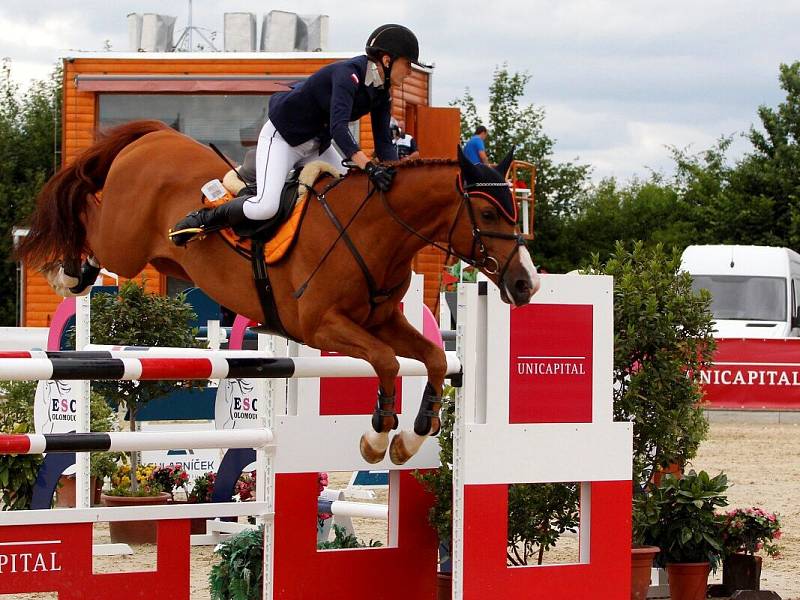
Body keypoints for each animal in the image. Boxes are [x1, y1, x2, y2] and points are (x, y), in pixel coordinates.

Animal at [18, 118, 540, 464]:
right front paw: (376, 438)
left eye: (516, 210)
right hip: (123, 244)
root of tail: (156, 135)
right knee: (87, 209)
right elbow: (387, 362)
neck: (377, 229)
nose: (526, 283)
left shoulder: (384, 321)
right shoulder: (321, 326)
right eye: (488, 213)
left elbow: (432, 358)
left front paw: (410, 438)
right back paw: (67, 273)